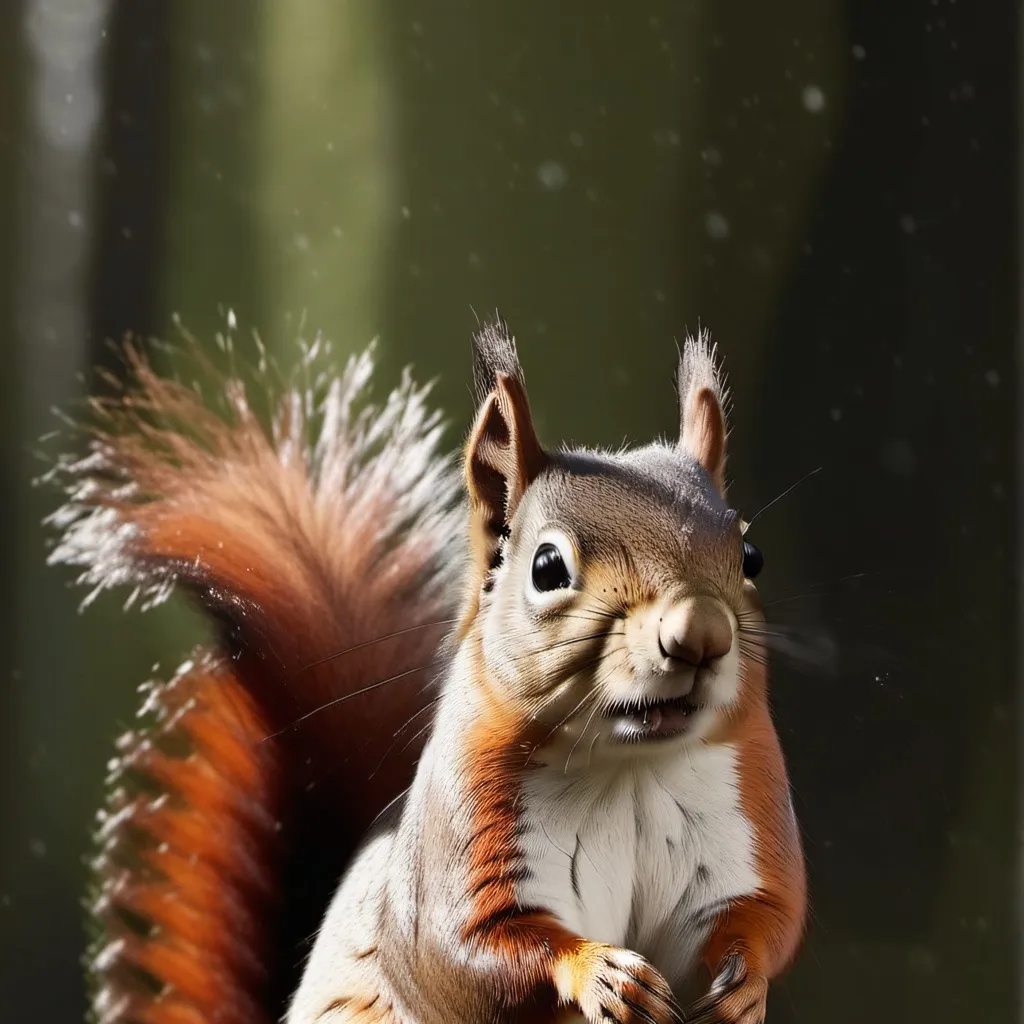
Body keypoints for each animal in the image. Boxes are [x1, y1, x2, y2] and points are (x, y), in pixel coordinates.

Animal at [47, 319, 806, 1024]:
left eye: (753, 557)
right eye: (547, 567)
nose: (700, 636)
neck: (630, 771)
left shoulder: (743, 832)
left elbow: (768, 915)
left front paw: (743, 982)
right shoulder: (463, 840)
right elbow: (465, 952)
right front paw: (600, 972)